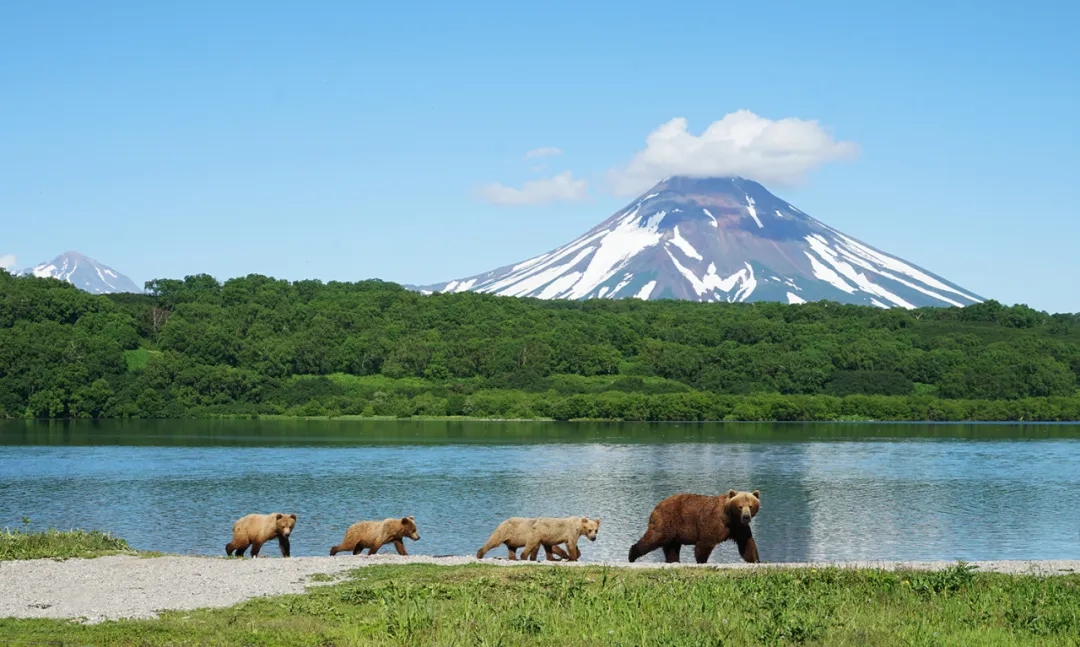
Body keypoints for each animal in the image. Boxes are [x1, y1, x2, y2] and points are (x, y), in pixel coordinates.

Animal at [626, 488, 760, 565]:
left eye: (751, 506)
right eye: (740, 506)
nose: (746, 517)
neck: (730, 517)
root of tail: (658, 504)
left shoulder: (738, 528)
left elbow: (747, 543)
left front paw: (755, 560)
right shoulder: (715, 521)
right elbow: (705, 542)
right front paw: (702, 561)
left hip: (675, 530)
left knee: (672, 546)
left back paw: (673, 560)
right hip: (667, 520)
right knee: (654, 537)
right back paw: (632, 555)